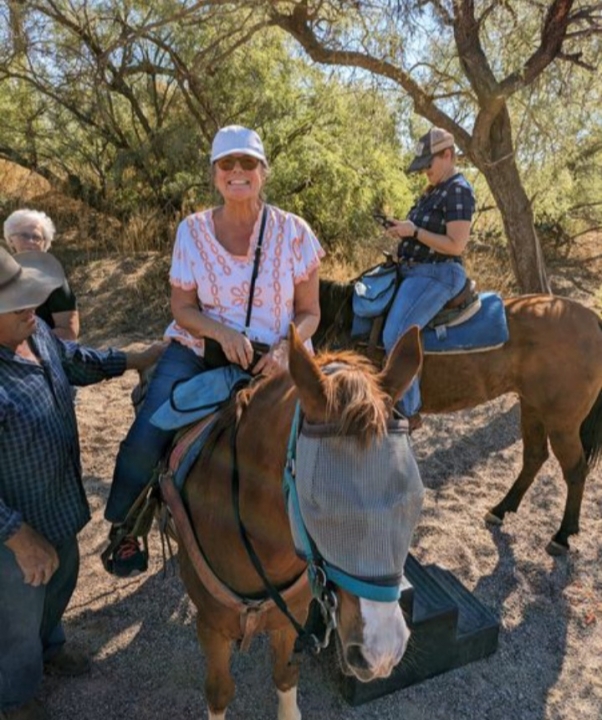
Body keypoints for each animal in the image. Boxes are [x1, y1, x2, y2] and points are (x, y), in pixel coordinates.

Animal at [171, 328, 420, 720]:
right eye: (318, 504)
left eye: (413, 499)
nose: (381, 651)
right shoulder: (211, 627)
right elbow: (219, 692)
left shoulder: (292, 620)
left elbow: (285, 677)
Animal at [314, 284, 600, 556]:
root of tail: (593, 321)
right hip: (532, 408)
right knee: (534, 457)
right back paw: (501, 510)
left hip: (561, 422)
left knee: (575, 470)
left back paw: (561, 536)